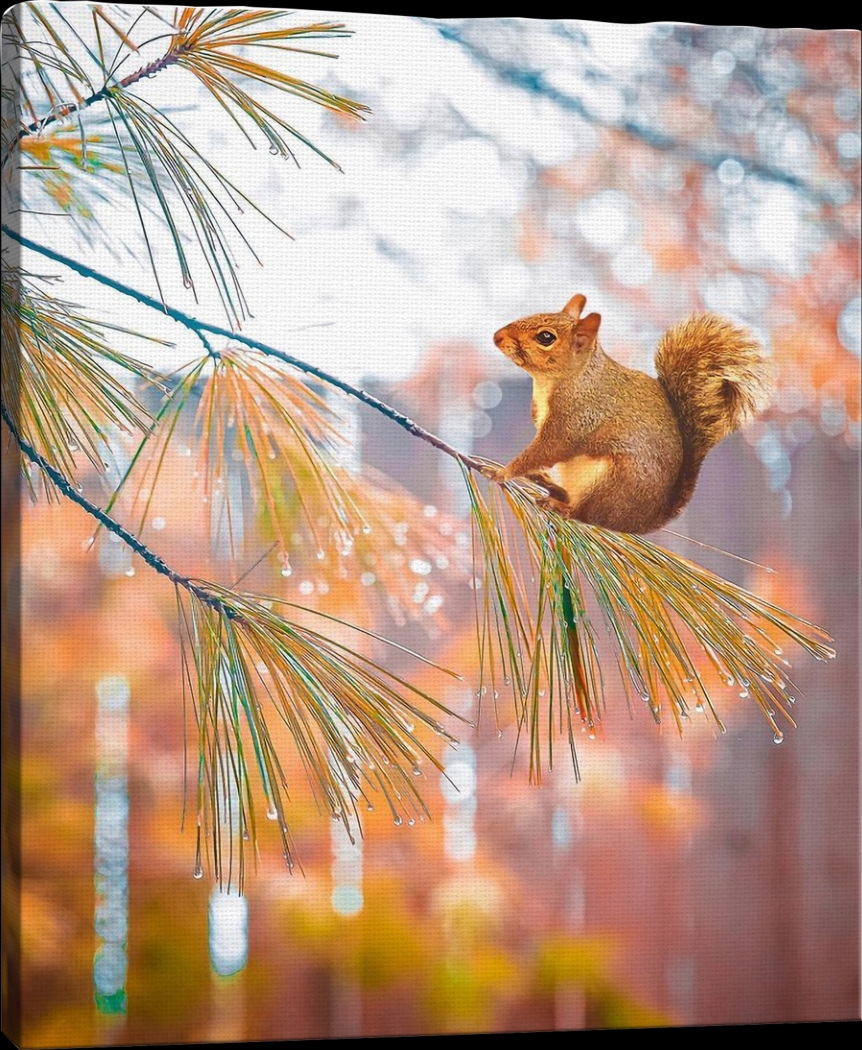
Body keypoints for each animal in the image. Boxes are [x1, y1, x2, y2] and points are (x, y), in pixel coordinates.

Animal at [490, 293, 772, 534]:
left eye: (546, 338)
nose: (497, 336)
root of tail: (645, 521)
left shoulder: (577, 417)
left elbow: (548, 449)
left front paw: (503, 472)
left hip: (614, 482)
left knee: (589, 514)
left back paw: (562, 506)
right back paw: (549, 485)